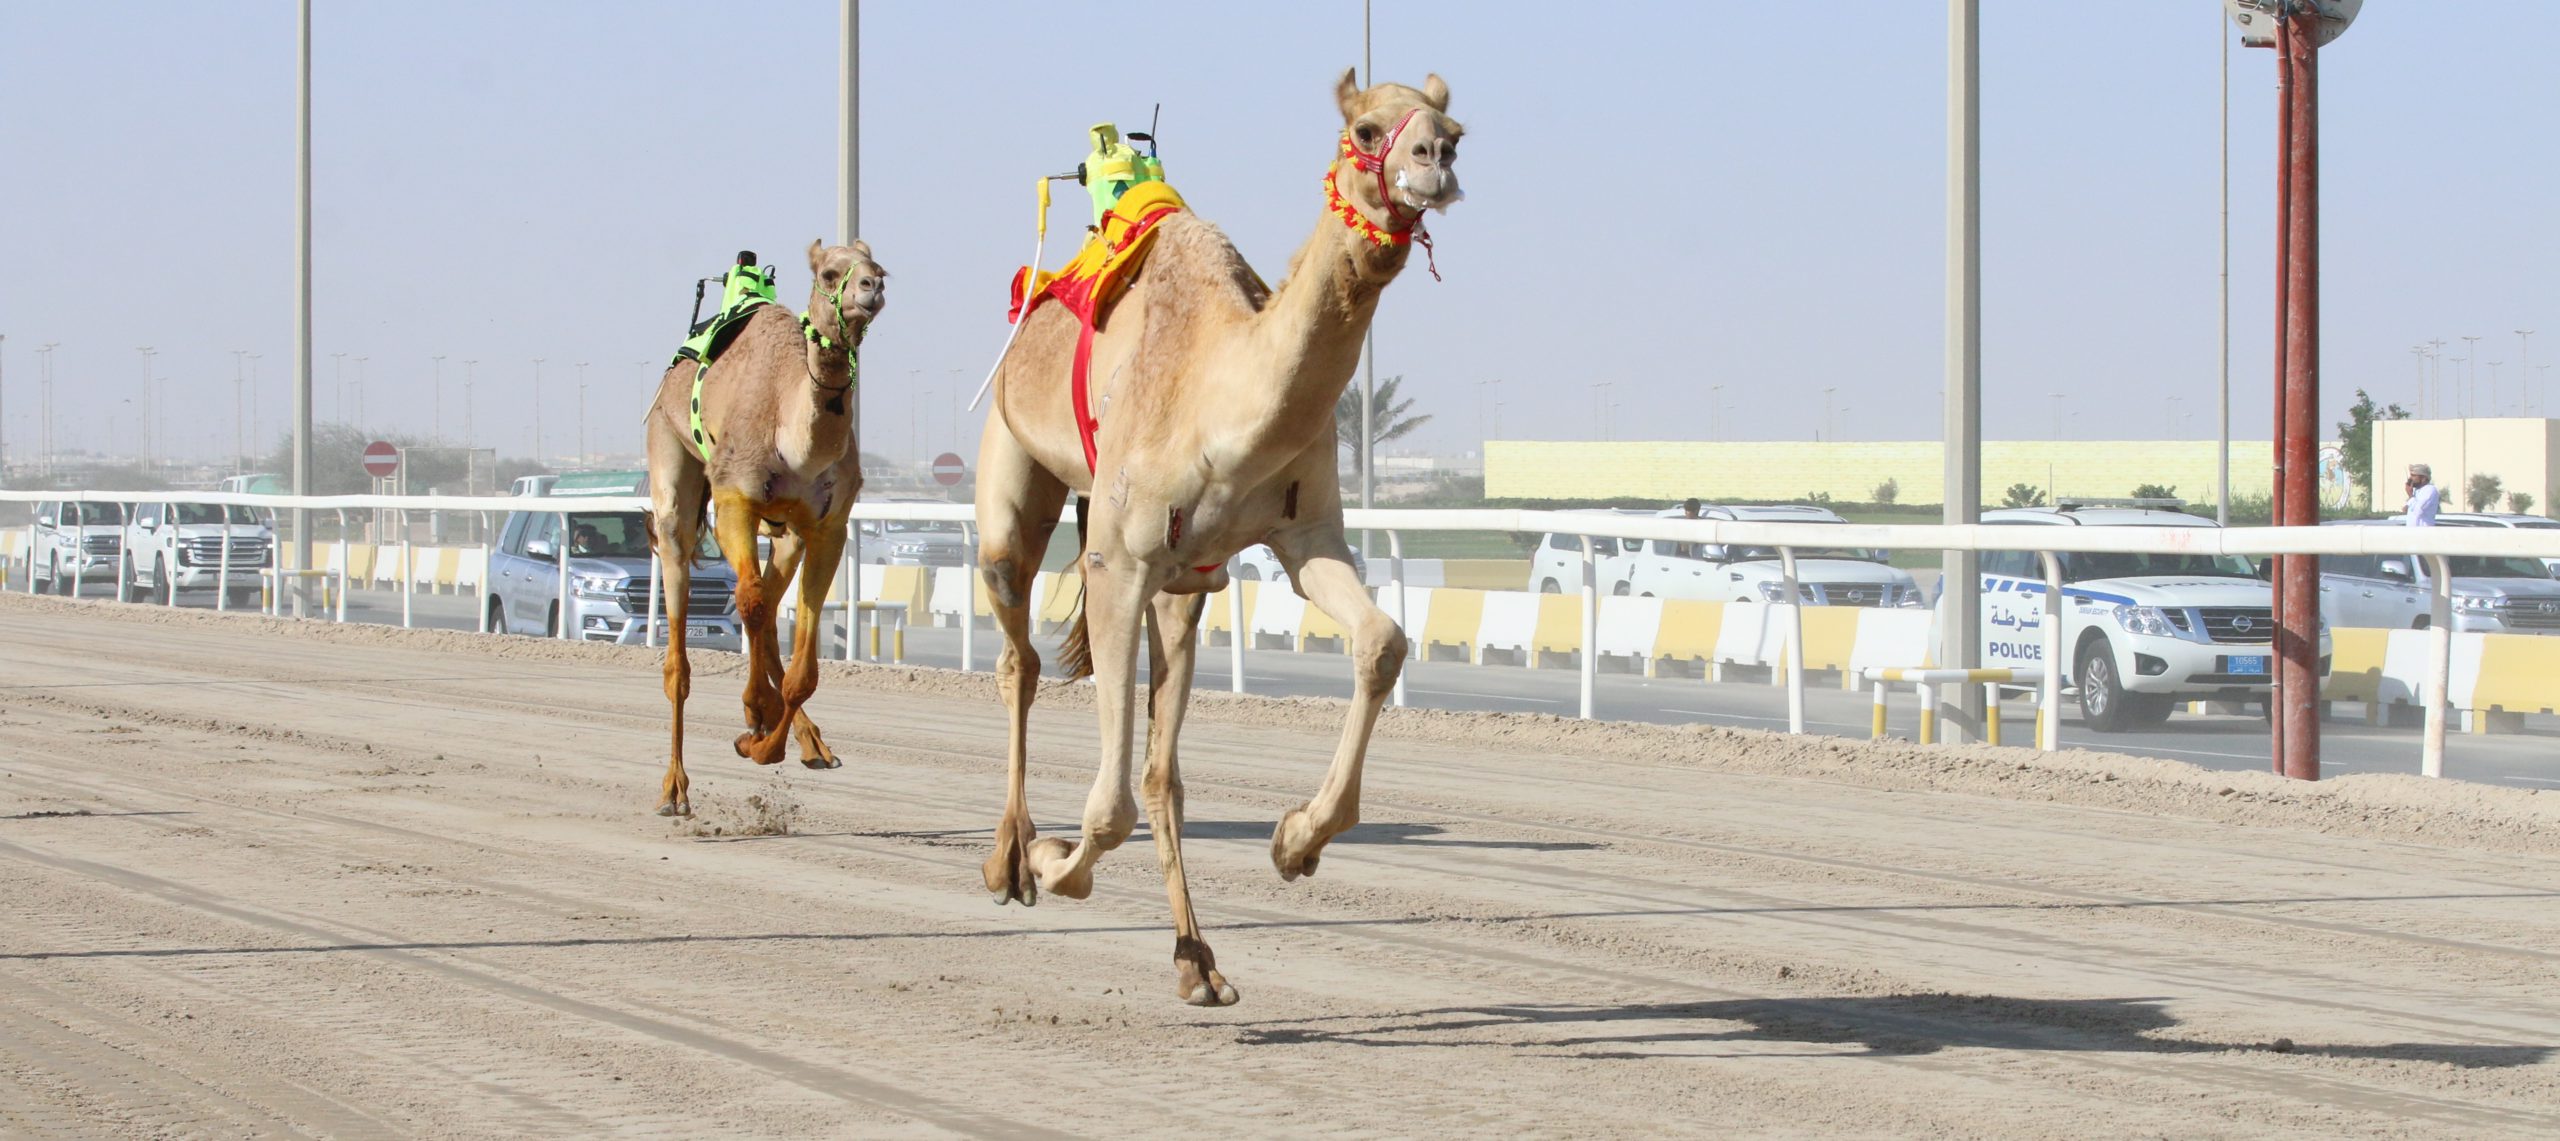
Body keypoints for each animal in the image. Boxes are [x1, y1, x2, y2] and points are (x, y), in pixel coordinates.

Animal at [645, 237, 885, 813]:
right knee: (684, 648)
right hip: (669, 463)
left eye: (879, 269)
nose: (871, 289)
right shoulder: (735, 496)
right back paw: (675, 789)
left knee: (771, 609)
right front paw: (755, 712)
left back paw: (811, 743)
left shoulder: (827, 526)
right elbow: (748, 602)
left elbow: (801, 666)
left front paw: (764, 738)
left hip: (787, 533)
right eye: (829, 274)